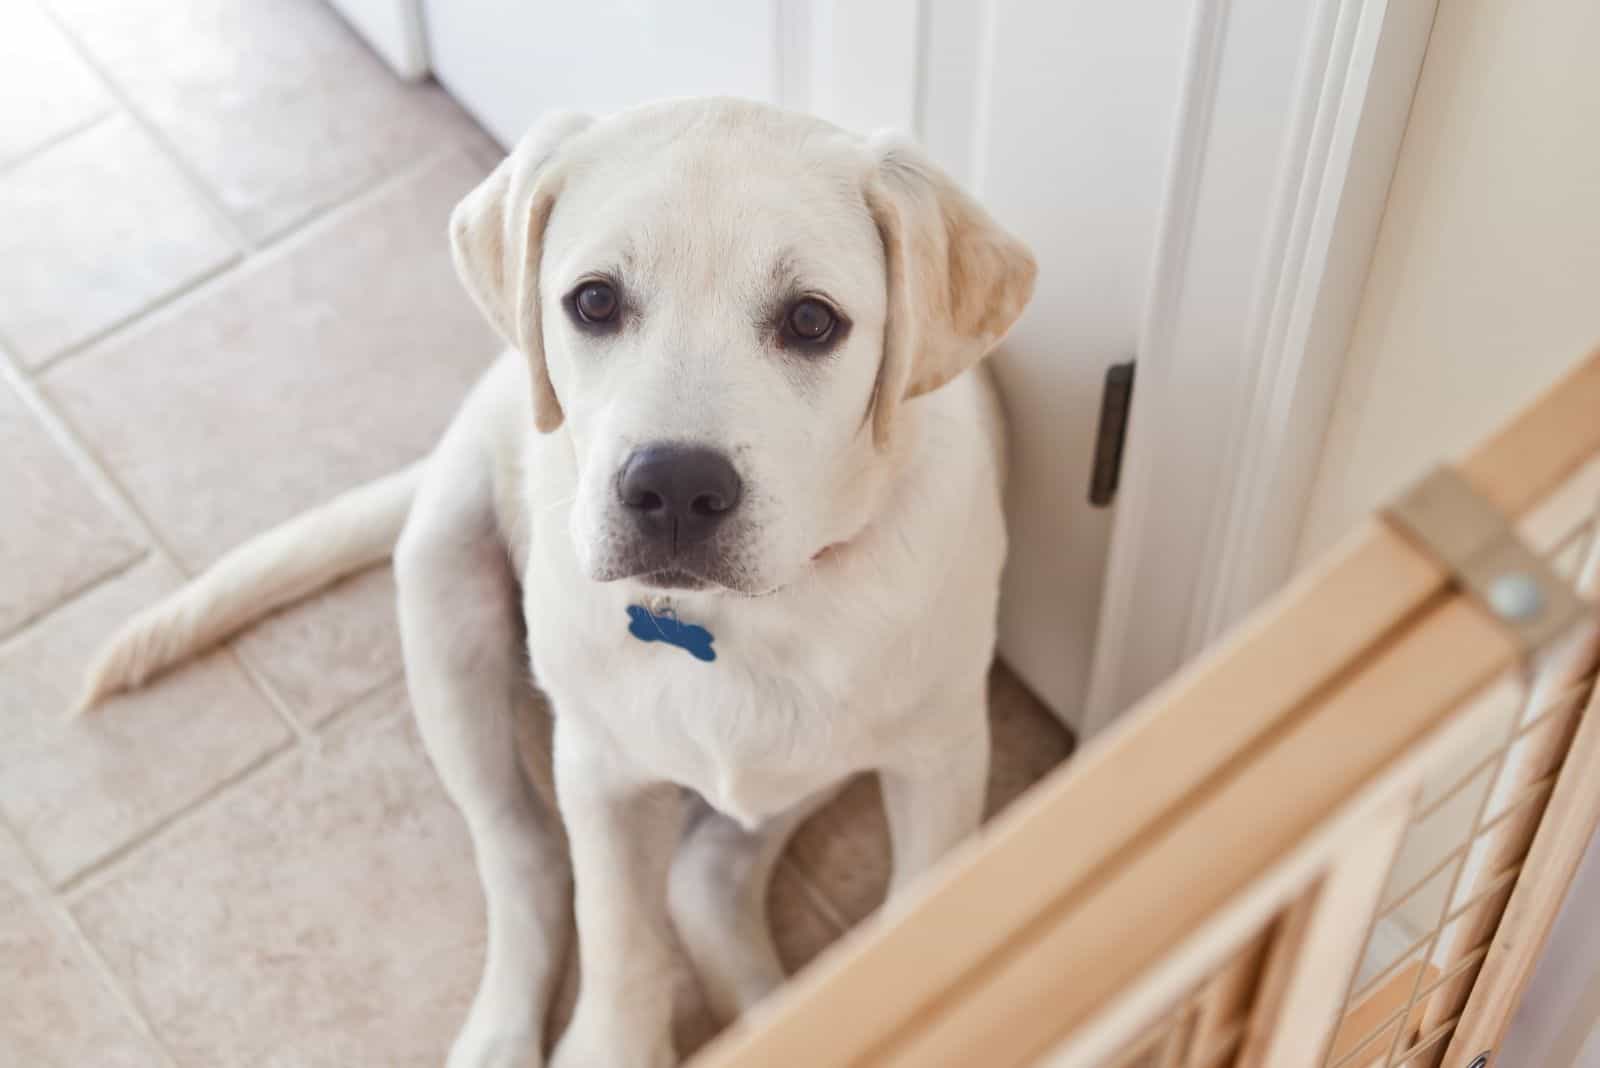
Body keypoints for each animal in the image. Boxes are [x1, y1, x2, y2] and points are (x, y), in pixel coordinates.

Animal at [81, 95, 1036, 1061]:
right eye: (596, 301)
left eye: (811, 321)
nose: (674, 488)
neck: (743, 618)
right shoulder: (601, 771)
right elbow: (618, 936)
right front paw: (615, 1043)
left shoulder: (942, 758)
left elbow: (920, 920)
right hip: (447, 594)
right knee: (528, 859)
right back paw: (504, 1034)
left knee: (700, 878)